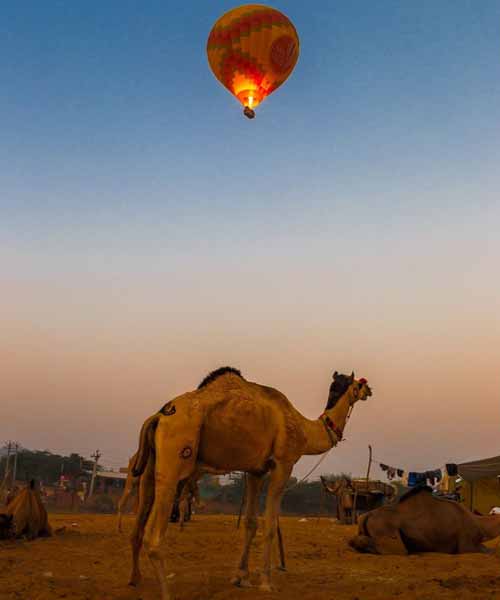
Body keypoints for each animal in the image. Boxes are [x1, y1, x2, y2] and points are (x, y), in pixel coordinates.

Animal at [128, 366, 372, 600]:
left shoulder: (256, 471)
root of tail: (160, 416)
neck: (303, 429)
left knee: (137, 527)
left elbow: (251, 522)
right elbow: (270, 525)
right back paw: (166, 593)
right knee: (153, 536)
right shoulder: (283, 464)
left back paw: (135, 579)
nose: (370, 390)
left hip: (150, 467)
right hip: (175, 458)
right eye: (359, 383)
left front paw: (241, 577)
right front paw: (266, 582)